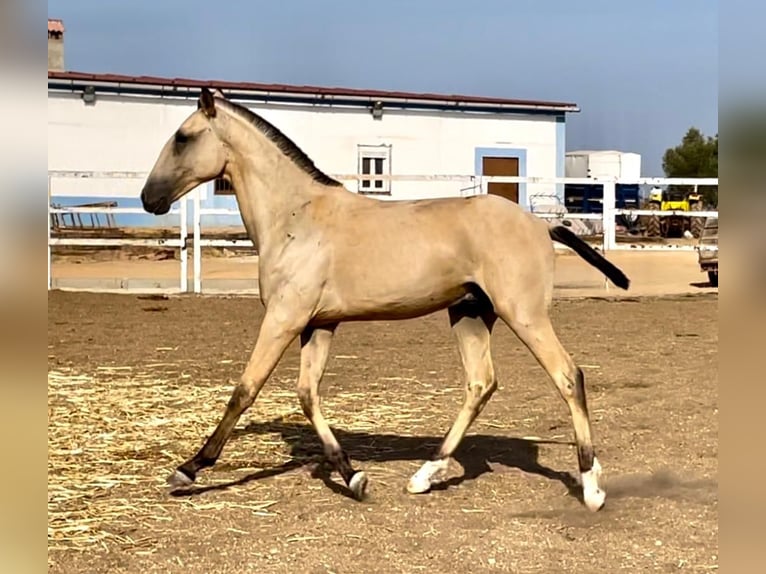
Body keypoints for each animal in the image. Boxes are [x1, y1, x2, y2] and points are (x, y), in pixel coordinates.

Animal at [140, 89, 632, 512]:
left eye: (182, 137)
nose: (149, 198)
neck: (296, 217)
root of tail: (541, 225)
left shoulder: (284, 318)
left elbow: (245, 390)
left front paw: (187, 470)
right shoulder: (319, 324)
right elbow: (307, 394)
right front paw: (353, 477)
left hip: (523, 314)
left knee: (568, 376)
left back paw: (591, 487)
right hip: (470, 313)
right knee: (480, 384)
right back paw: (425, 475)